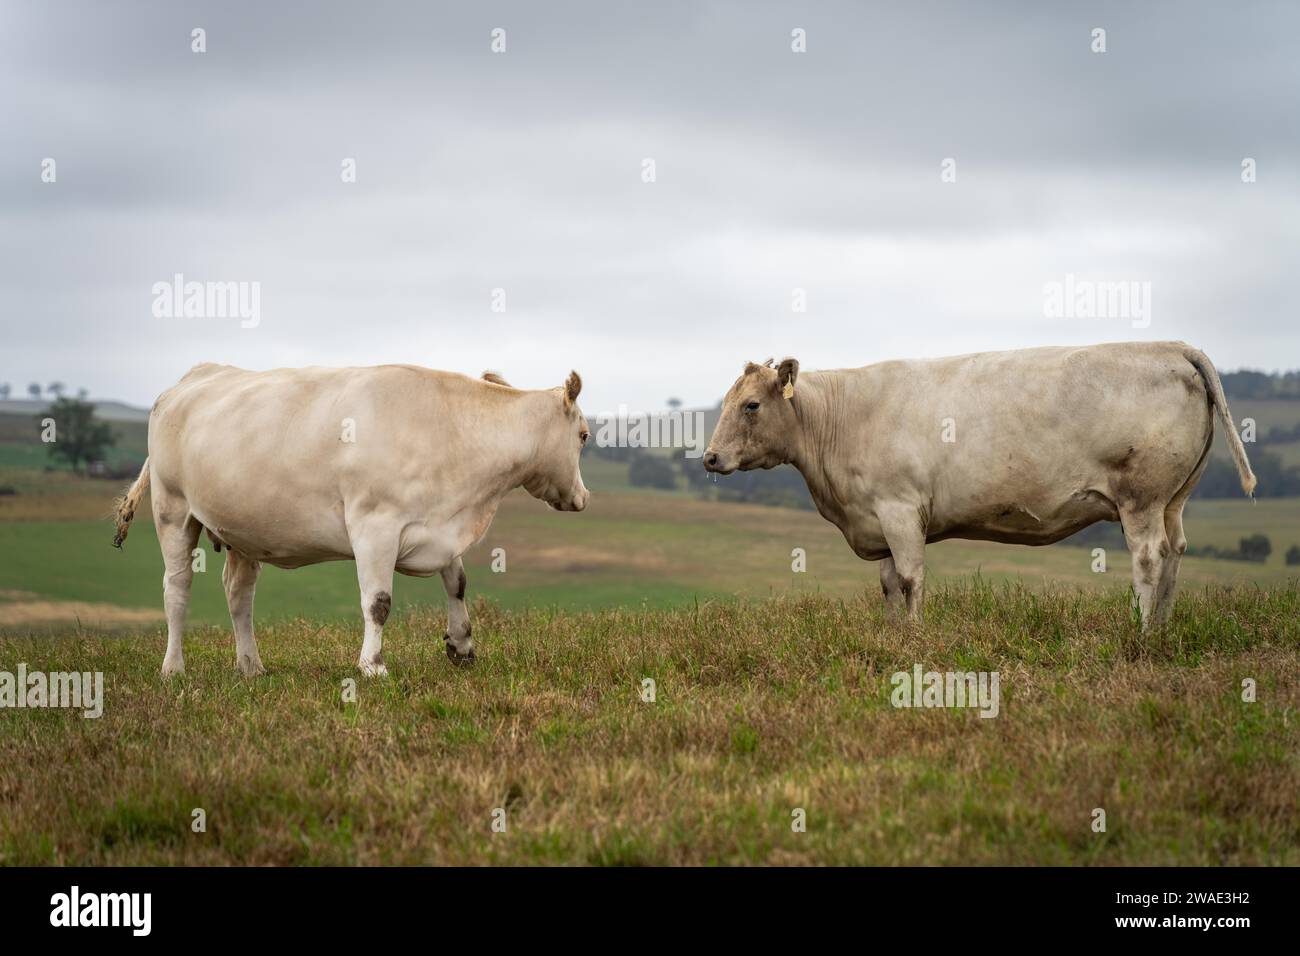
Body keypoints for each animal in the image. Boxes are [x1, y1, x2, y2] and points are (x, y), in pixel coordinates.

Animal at [111, 361, 590, 676]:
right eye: (584, 436)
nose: (583, 497)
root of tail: (191, 378)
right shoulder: (375, 526)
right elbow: (378, 602)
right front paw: (372, 665)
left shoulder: (436, 525)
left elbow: (457, 583)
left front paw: (461, 644)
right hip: (173, 510)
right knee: (177, 590)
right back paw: (174, 668)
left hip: (242, 529)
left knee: (238, 594)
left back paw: (251, 666)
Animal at [707, 343, 1253, 629]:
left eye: (751, 405)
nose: (710, 457)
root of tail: (1170, 348)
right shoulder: (877, 515)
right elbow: (887, 584)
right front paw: (893, 635)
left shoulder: (900, 508)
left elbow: (910, 579)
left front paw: (915, 638)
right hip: (1173, 499)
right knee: (1175, 553)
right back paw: (1162, 627)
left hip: (1141, 497)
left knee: (1149, 558)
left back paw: (1140, 632)